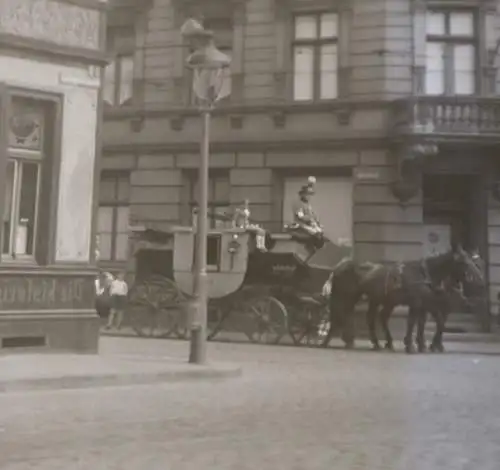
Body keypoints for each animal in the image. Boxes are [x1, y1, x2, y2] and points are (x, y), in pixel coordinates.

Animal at [322, 246, 482, 352]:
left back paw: (377, 342)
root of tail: (340, 266)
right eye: (464, 262)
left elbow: (425, 323)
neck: (425, 274)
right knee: (343, 314)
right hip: (348, 296)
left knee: (372, 317)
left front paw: (423, 344)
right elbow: (412, 323)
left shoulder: (425, 305)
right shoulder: (417, 303)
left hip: (377, 299)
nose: (479, 278)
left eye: (471, 261)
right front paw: (411, 344)